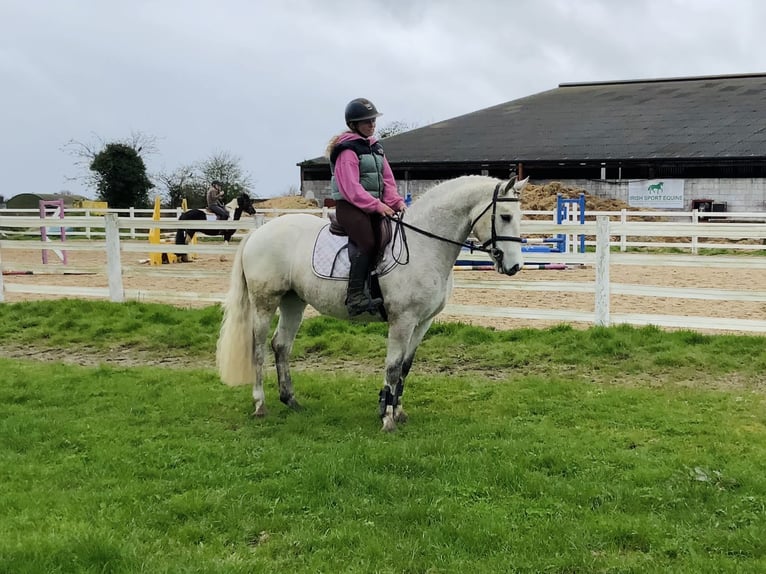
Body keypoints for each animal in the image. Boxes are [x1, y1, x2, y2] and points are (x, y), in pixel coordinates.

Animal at [217, 175, 528, 432]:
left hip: (294, 302)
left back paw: (291, 400)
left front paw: (397, 411)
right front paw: (387, 419)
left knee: (280, 346)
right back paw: (260, 405)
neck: (423, 245)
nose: (515, 266)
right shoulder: (402, 320)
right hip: (264, 302)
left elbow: (405, 367)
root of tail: (259, 232)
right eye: (505, 216)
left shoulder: (422, 323)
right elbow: (392, 366)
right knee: (258, 349)